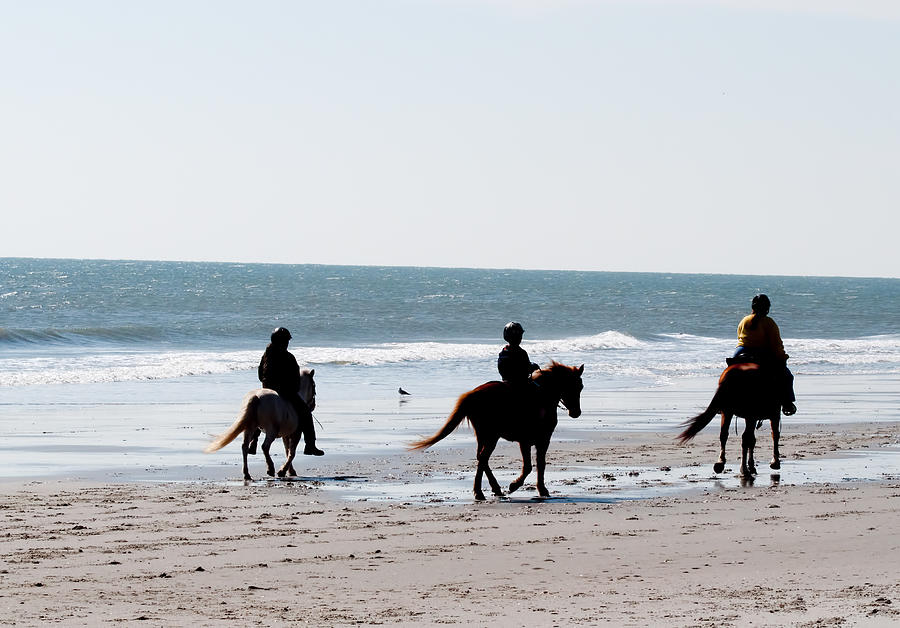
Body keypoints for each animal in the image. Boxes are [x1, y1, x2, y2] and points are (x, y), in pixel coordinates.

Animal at [408, 364, 584, 500]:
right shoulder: (533, 440)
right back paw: (483, 491)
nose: (576, 412)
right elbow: (531, 466)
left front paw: (540, 489)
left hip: (483, 435)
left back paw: (489, 490)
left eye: (581, 387)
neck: (543, 395)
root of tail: (472, 395)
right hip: (491, 436)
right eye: (575, 385)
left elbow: (539, 464)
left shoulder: (537, 440)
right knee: (483, 458)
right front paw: (517, 486)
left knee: (481, 458)